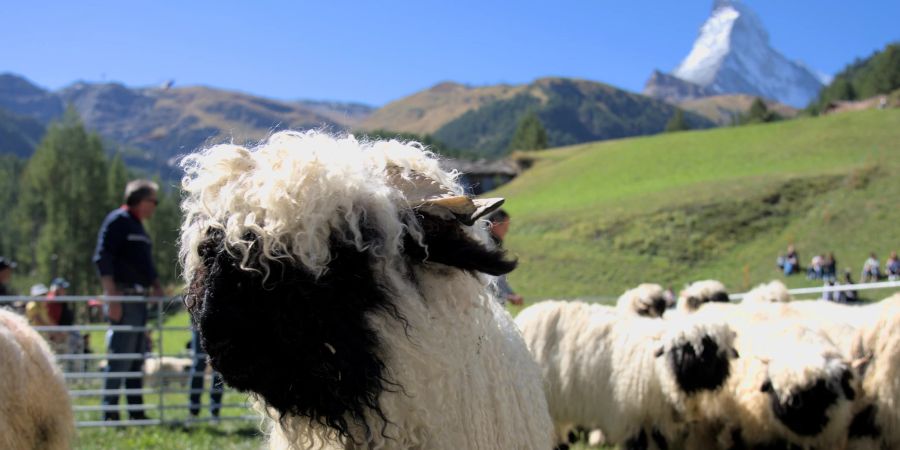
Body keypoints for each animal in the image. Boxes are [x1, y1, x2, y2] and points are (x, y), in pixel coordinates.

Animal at [512, 298, 740, 448]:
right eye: (684, 349)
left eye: (714, 349)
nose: (707, 371)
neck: (658, 369)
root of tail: (526, 315)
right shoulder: (633, 415)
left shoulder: (662, 420)